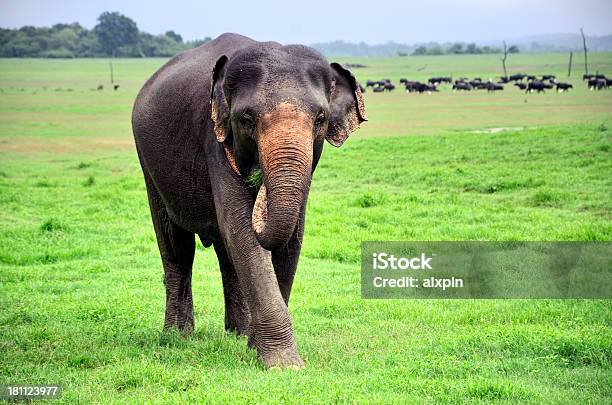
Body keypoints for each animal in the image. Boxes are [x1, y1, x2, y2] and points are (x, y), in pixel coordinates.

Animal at [131, 33, 366, 368]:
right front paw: (283, 365)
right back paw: (177, 336)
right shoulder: (214, 140)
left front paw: (257, 349)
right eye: (246, 119)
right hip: (150, 166)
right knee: (177, 246)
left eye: (320, 118)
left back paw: (237, 334)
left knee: (225, 254)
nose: (258, 182)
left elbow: (290, 238)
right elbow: (241, 231)